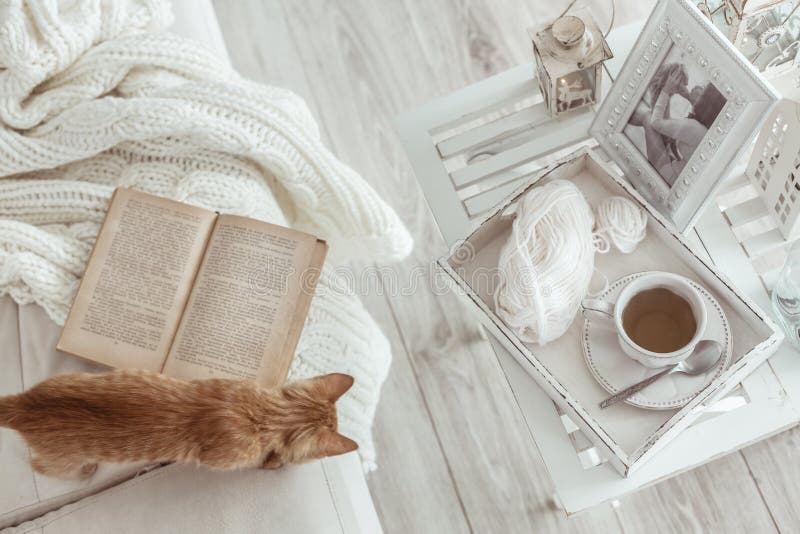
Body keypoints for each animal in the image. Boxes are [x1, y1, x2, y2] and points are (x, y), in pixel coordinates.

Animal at [0, 372, 356, 482]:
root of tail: (23, 403)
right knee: (41, 466)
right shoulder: (226, 460)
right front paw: (273, 462)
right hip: (63, 462)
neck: (259, 413)